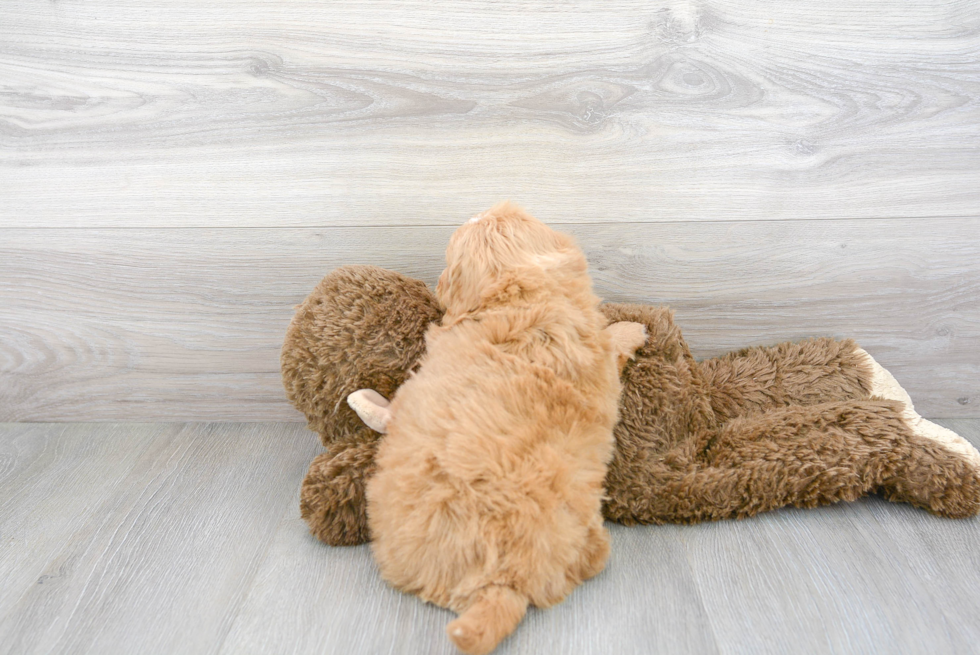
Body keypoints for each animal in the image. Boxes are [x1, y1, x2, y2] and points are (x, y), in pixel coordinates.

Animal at [348, 205, 648, 655]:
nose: (486, 208)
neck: (524, 297)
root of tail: (505, 582)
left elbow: (392, 409)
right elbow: (611, 343)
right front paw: (631, 327)